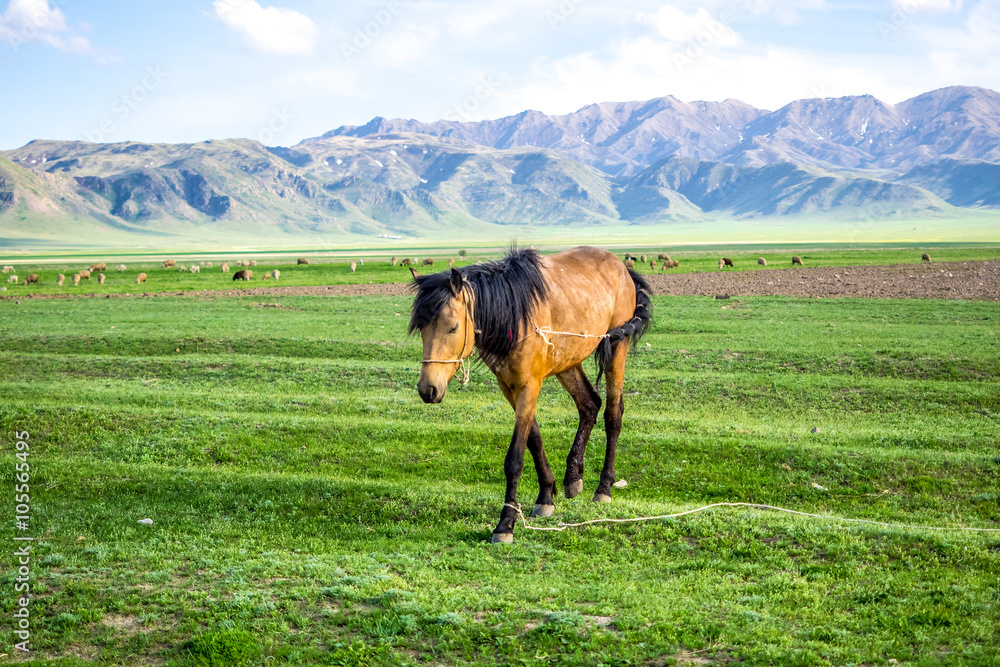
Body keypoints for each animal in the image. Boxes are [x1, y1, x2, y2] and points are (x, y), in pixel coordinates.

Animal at [410, 245, 652, 544]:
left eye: (453, 326)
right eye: (421, 328)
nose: (427, 389)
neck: (511, 315)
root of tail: (622, 267)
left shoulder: (529, 384)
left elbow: (515, 457)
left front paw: (505, 523)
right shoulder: (508, 386)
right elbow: (534, 439)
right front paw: (546, 496)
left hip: (617, 349)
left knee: (612, 414)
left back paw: (604, 487)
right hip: (567, 361)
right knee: (589, 404)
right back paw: (573, 477)